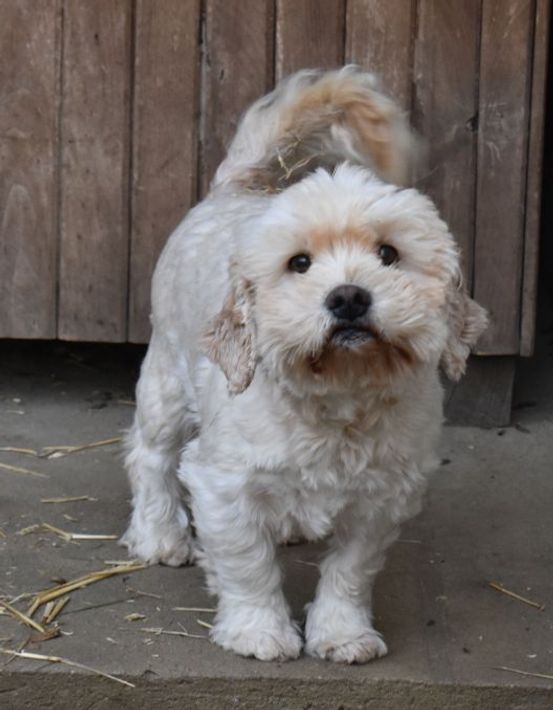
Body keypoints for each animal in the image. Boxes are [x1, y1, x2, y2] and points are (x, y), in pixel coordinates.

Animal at [121, 66, 488, 663]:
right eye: (299, 264)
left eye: (388, 254)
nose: (348, 297)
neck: (336, 399)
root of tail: (237, 186)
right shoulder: (223, 486)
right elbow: (248, 566)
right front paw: (259, 631)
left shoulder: (381, 500)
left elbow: (349, 573)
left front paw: (343, 635)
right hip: (166, 385)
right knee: (148, 456)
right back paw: (160, 537)